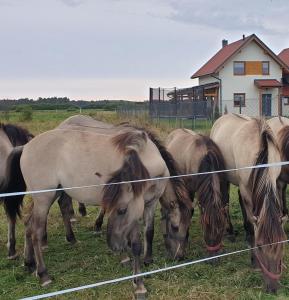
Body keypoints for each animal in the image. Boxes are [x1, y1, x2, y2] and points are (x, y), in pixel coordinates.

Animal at [19, 124, 171, 296]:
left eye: (122, 210)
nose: (113, 246)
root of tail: (26, 147)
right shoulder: (135, 210)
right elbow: (135, 244)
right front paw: (138, 283)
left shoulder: (150, 204)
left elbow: (149, 232)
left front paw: (147, 260)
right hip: (43, 199)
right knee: (36, 233)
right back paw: (43, 274)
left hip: (51, 195)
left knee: (28, 224)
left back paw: (29, 263)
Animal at [209, 113, 286, 292]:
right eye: (260, 245)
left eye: (282, 244)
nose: (273, 289)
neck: (262, 153)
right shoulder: (246, 189)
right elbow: (252, 226)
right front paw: (254, 261)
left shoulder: (275, 182)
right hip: (225, 179)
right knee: (225, 203)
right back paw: (230, 231)